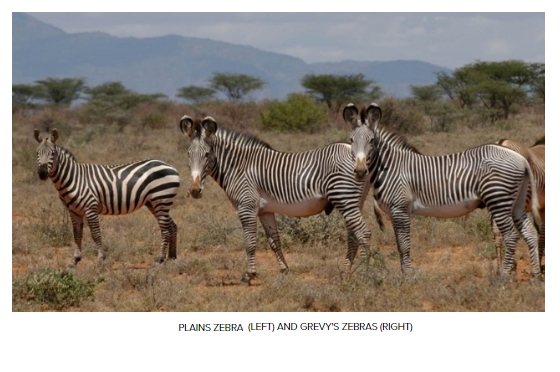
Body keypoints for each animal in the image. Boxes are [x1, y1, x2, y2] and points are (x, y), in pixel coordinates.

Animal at [32, 129, 180, 268]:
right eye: (37, 153)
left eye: (52, 153)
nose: (42, 173)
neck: (73, 178)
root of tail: (170, 166)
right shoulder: (74, 211)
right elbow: (77, 234)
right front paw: (74, 261)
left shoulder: (90, 208)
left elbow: (95, 233)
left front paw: (101, 259)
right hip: (154, 203)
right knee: (172, 226)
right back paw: (172, 257)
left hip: (161, 200)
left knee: (165, 230)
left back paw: (160, 259)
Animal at [180, 115, 376, 284]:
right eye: (188, 154)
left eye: (207, 154)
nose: (195, 191)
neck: (238, 167)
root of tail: (358, 157)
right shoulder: (265, 211)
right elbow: (274, 242)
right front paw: (284, 270)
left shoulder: (246, 206)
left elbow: (249, 243)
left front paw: (248, 275)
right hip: (354, 201)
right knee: (353, 236)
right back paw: (345, 273)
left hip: (344, 198)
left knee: (363, 234)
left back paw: (364, 275)